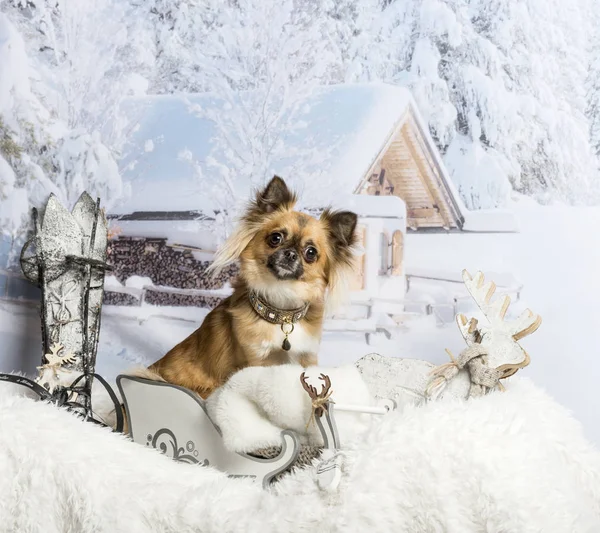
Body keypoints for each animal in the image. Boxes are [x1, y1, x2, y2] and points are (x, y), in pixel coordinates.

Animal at [148, 175, 358, 394]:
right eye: (276, 238)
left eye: (311, 252)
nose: (290, 254)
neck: (282, 313)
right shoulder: (256, 360)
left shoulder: (307, 357)